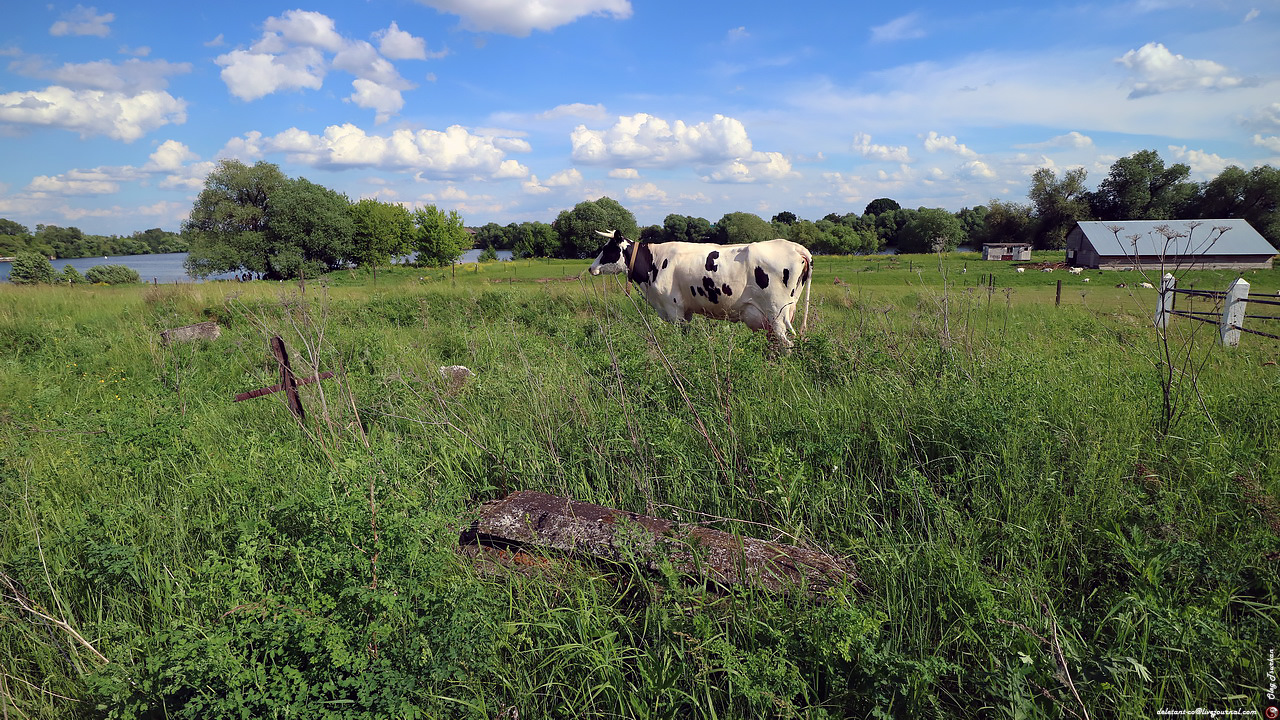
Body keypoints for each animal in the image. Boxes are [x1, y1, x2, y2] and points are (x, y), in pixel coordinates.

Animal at [586, 226, 814, 345]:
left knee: (787, 345)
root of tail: (796, 247)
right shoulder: (685, 312)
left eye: (608, 249)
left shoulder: (674, 309)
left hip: (777, 314)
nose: (591, 268)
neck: (654, 261)